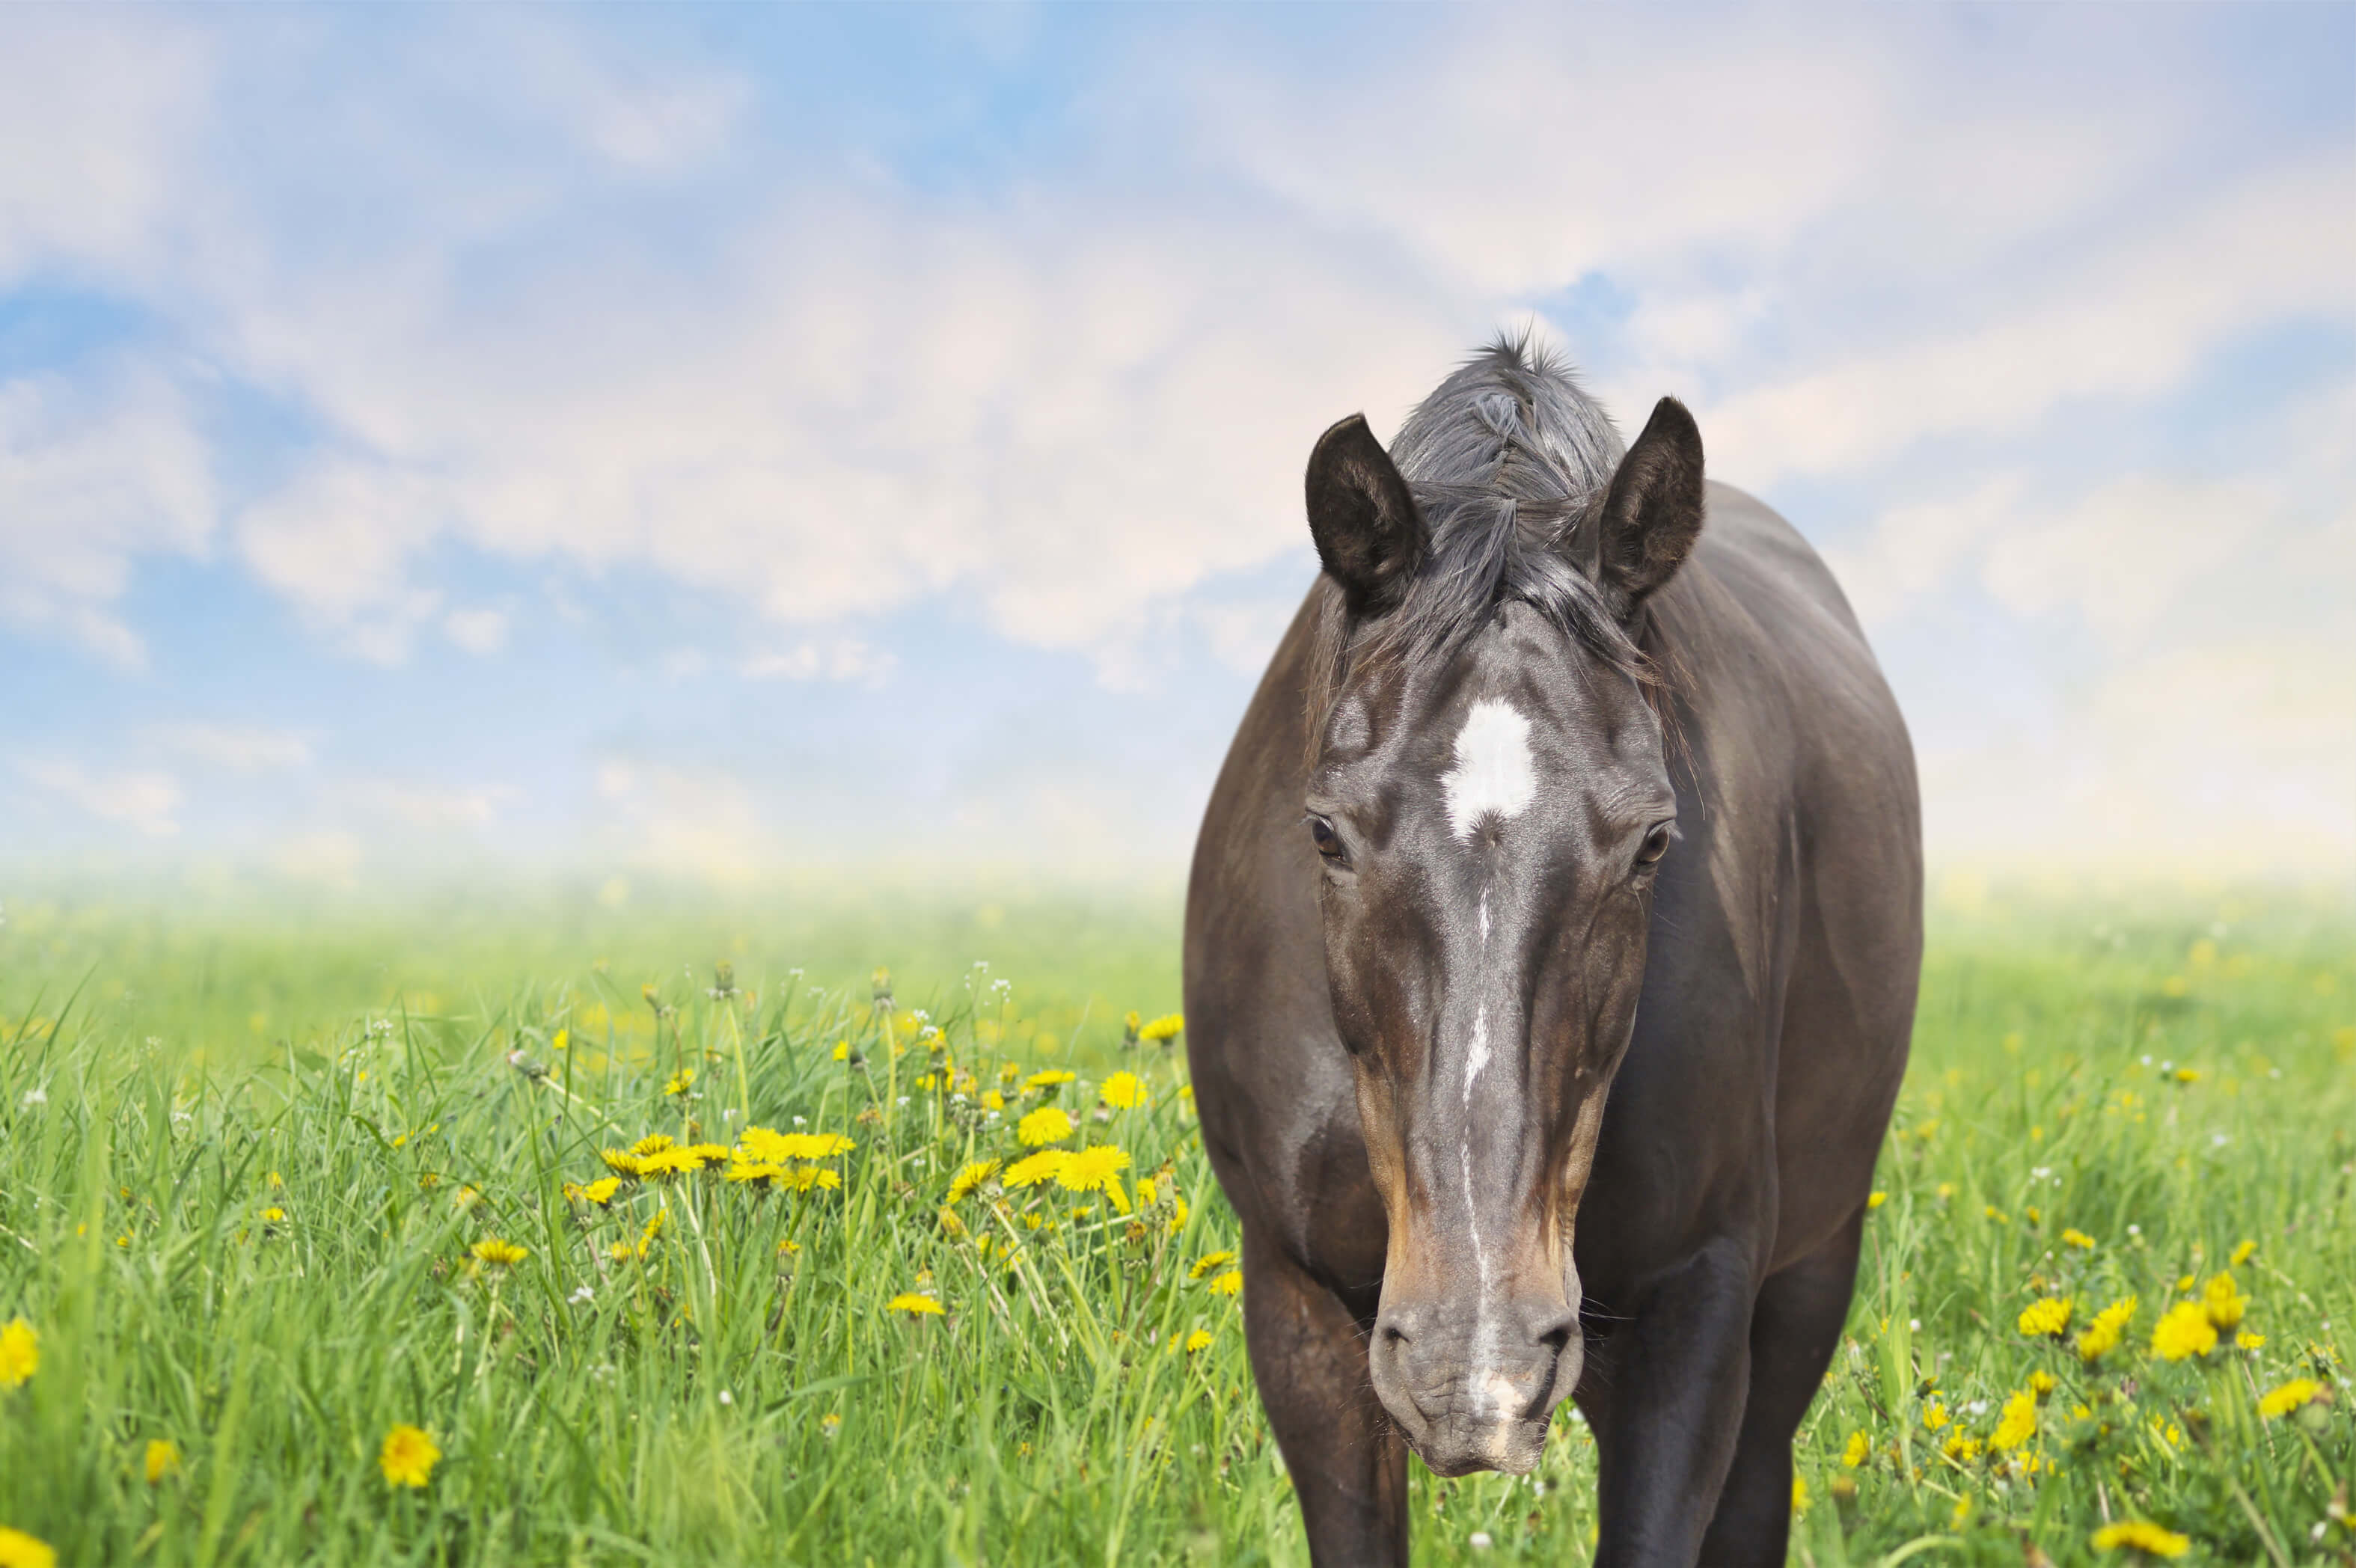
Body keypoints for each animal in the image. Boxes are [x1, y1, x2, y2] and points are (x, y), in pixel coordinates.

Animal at [1184, 336, 1920, 1566]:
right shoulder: (1296, 1303)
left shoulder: (1694, 1301)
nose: (1469, 1371)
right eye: (1324, 831)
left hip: (1805, 1280)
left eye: (1652, 840)